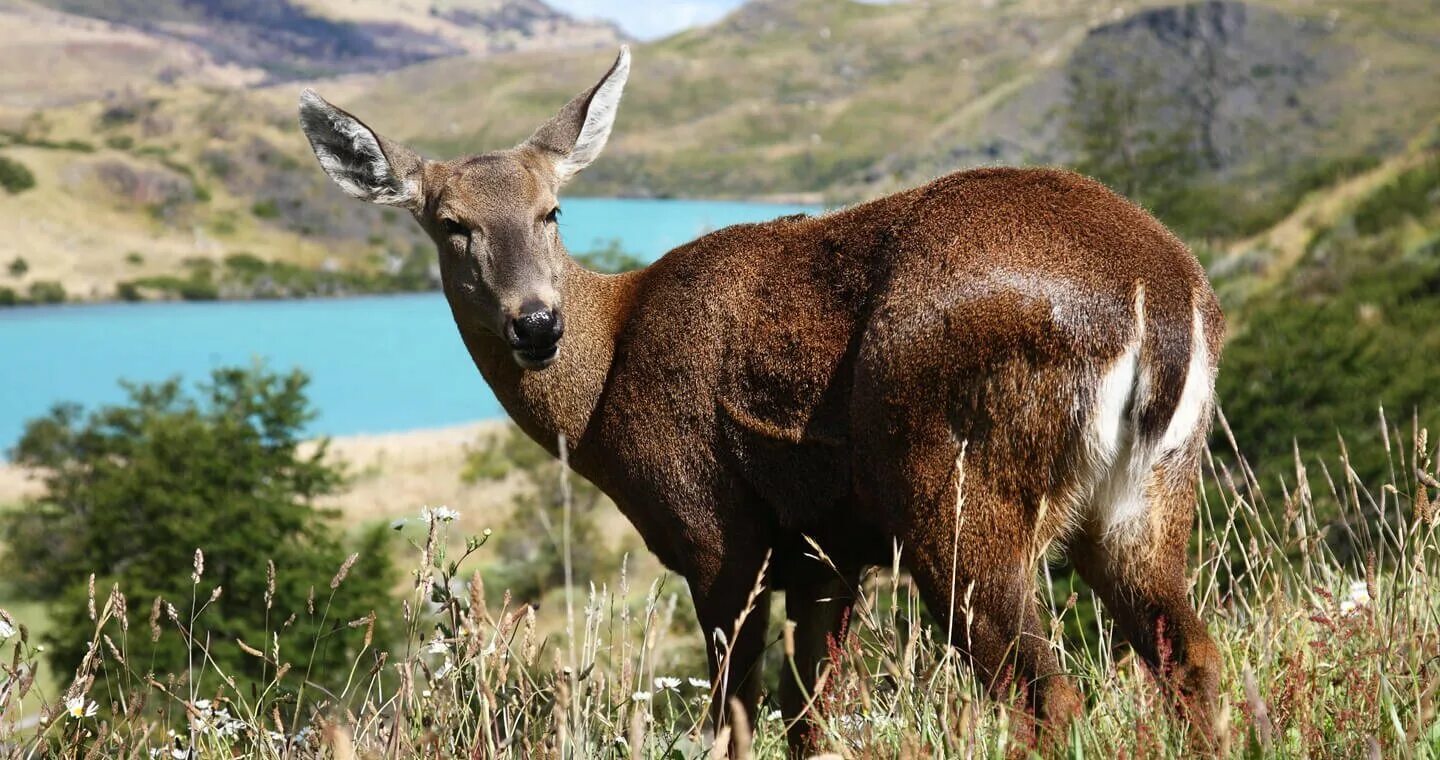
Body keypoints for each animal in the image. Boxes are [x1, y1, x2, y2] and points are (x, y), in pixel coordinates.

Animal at [298, 47, 1221, 754]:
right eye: (452, 224)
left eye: (552, 210)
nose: (536, 322)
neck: (604, 388)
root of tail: (1162, 296)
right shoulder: (825, 553)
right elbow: (807, 719)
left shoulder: (715, 532)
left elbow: (732, 721)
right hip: (1148, 495)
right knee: (1190, 658)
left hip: (955, 483)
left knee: (1045, 695)